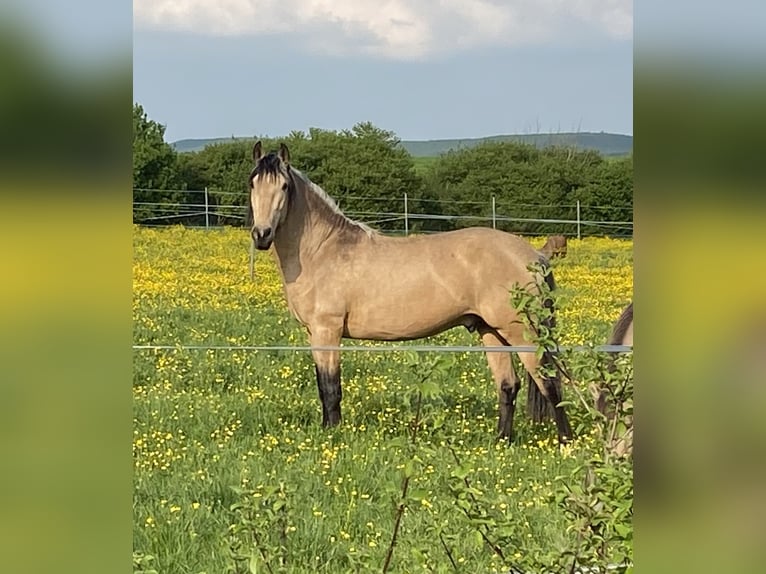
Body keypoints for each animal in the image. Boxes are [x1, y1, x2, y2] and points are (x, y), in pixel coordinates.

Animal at [246, 141, 573, 444]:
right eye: (252, 183)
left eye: (284, 186)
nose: (262, 235)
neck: (323, 250)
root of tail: (533, 255)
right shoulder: (314, 333)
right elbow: (322, 384)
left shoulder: (327, 330)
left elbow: (330, 387)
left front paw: (332, 434)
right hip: (491, 331)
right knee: (508, 385)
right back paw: (501, 441)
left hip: (521, 332)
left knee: (549, 382)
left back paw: (565, 442)